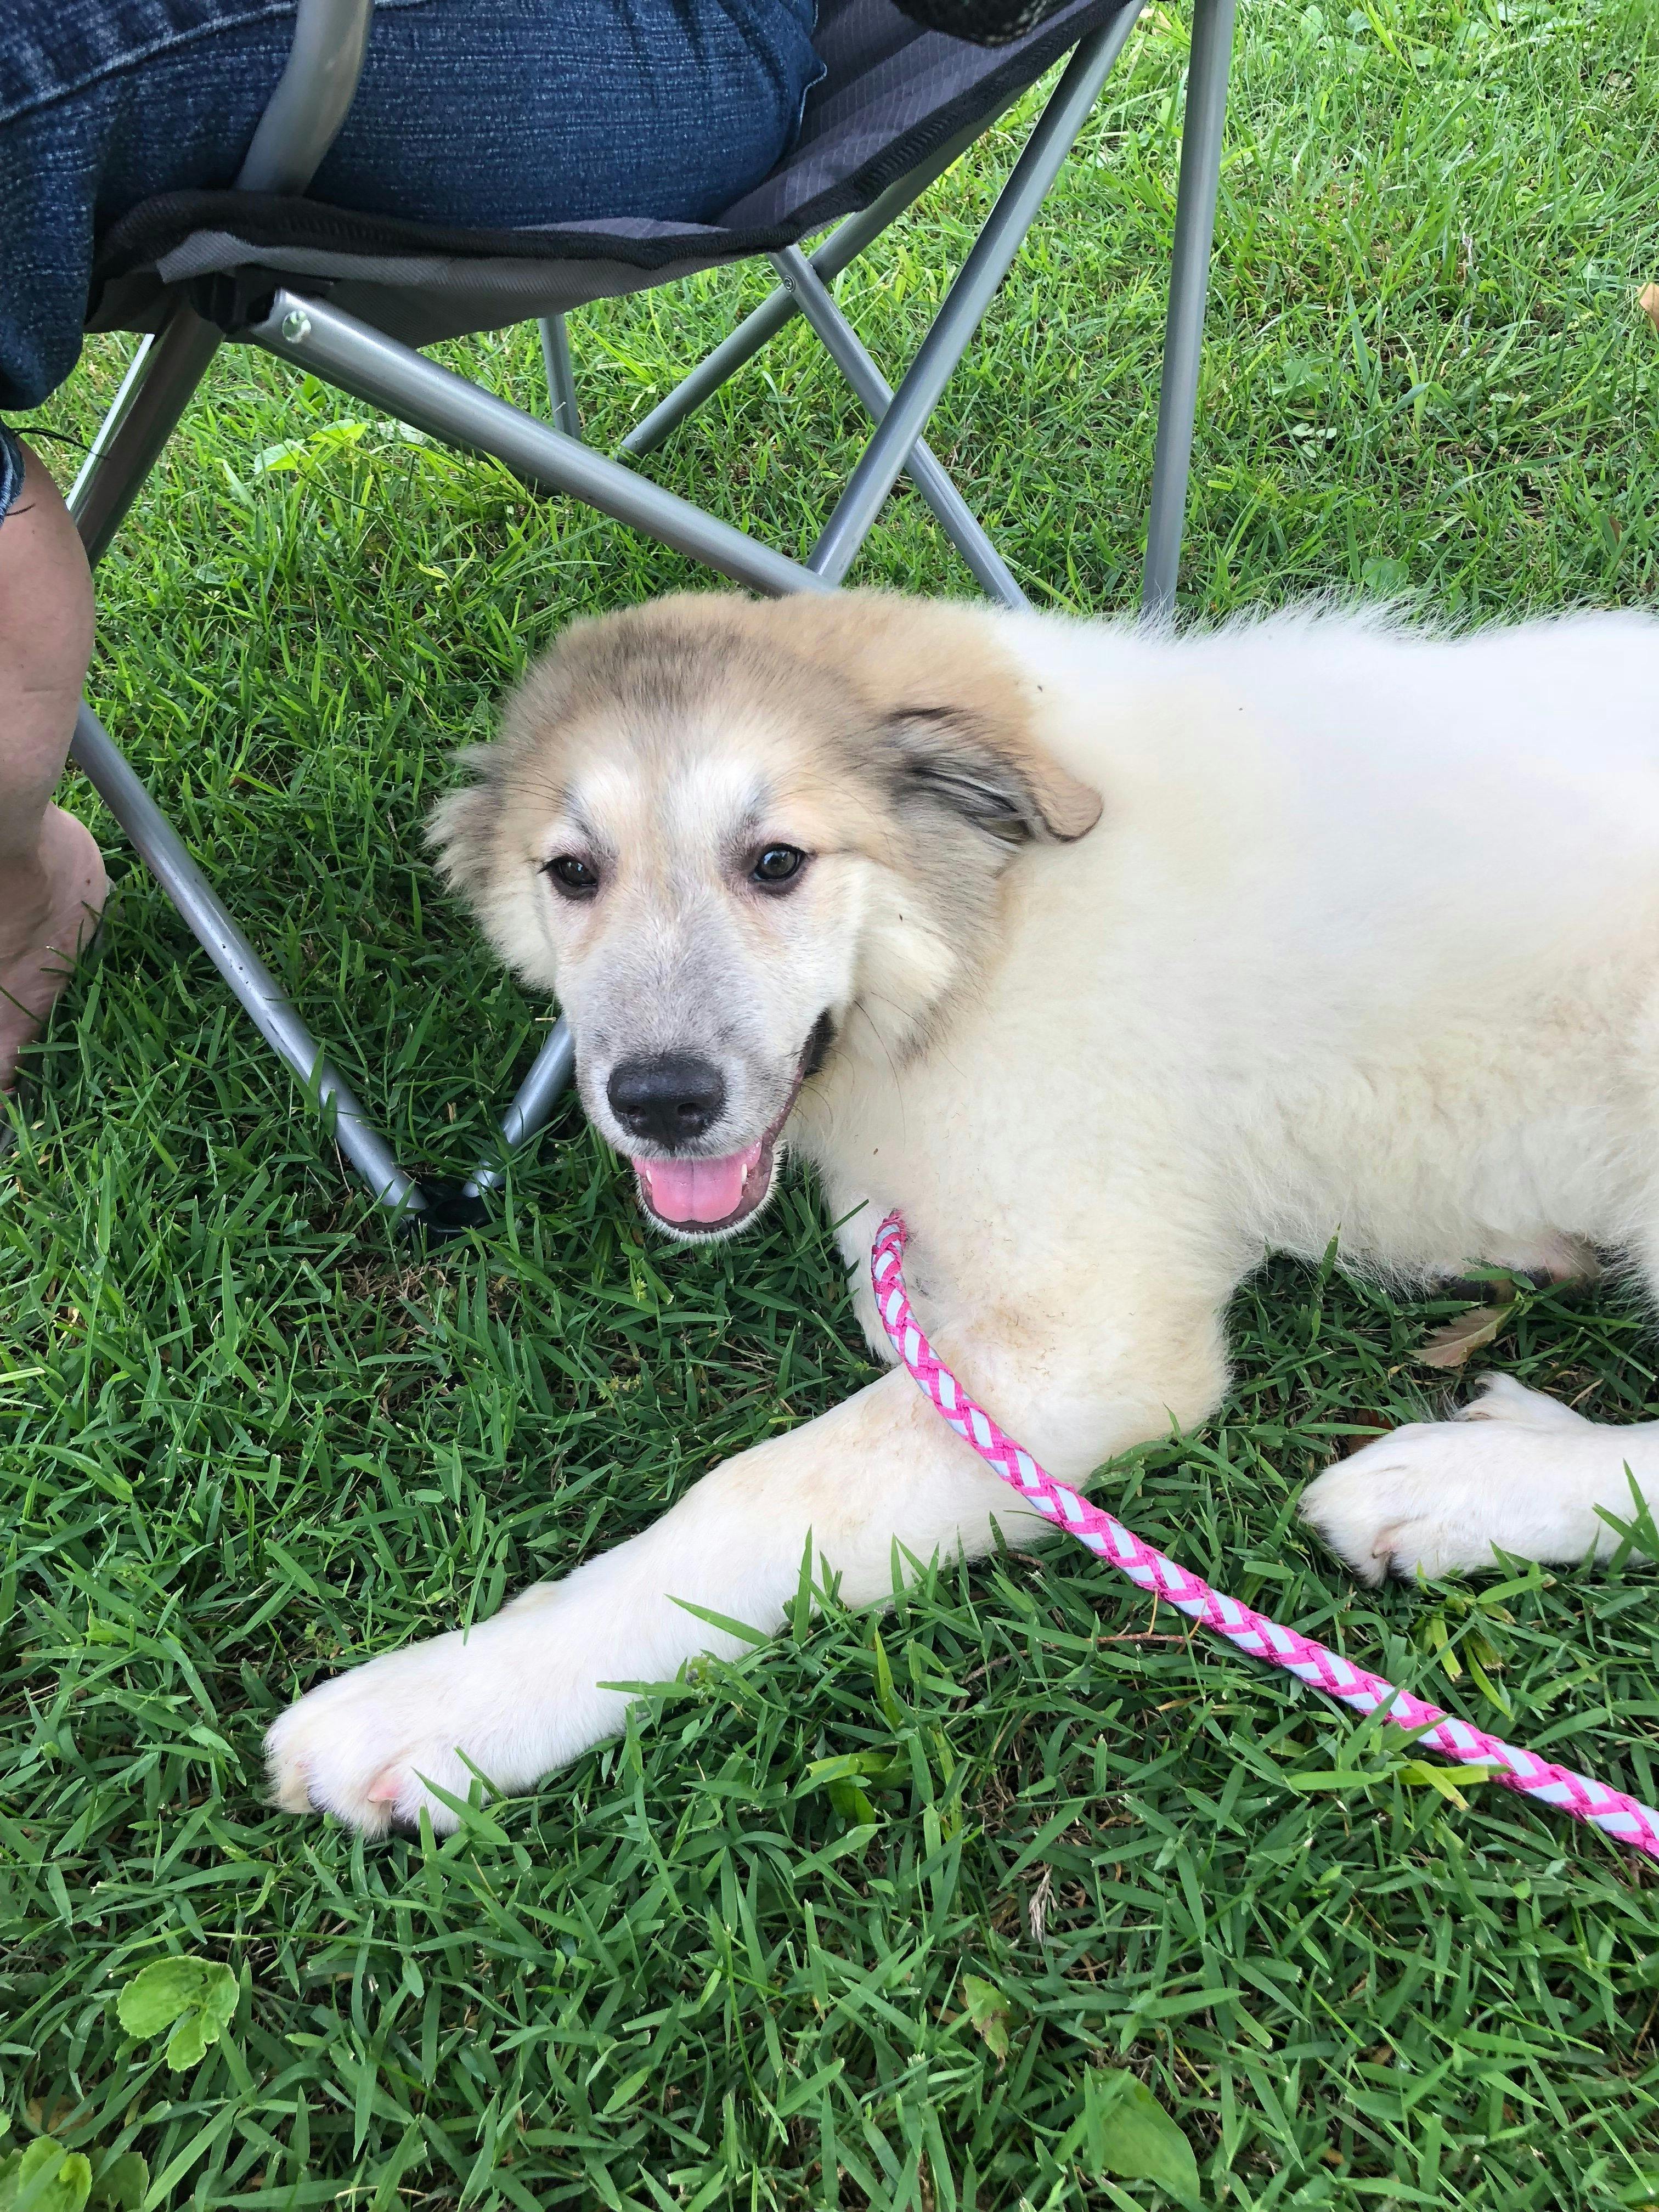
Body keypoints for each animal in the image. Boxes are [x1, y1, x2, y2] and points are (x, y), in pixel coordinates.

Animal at [266, 588, 1654, 1831]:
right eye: (573, 873)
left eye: (777, 864)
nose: (659, 1100)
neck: (984, 927)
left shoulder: (1086, 1348)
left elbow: (762, 1496)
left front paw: (443, 1708)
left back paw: (1464, 1486)